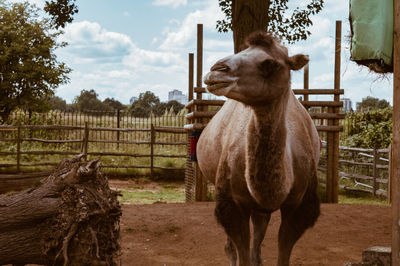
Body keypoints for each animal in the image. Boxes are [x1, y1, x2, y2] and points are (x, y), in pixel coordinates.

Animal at [198, 31, 322, 266]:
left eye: (269, 63)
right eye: (243, 51)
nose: (217, 69)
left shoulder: (299, 206)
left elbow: (283, 251)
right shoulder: (232, 203)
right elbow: (241, 251)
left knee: (258, 235)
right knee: (233, 247)